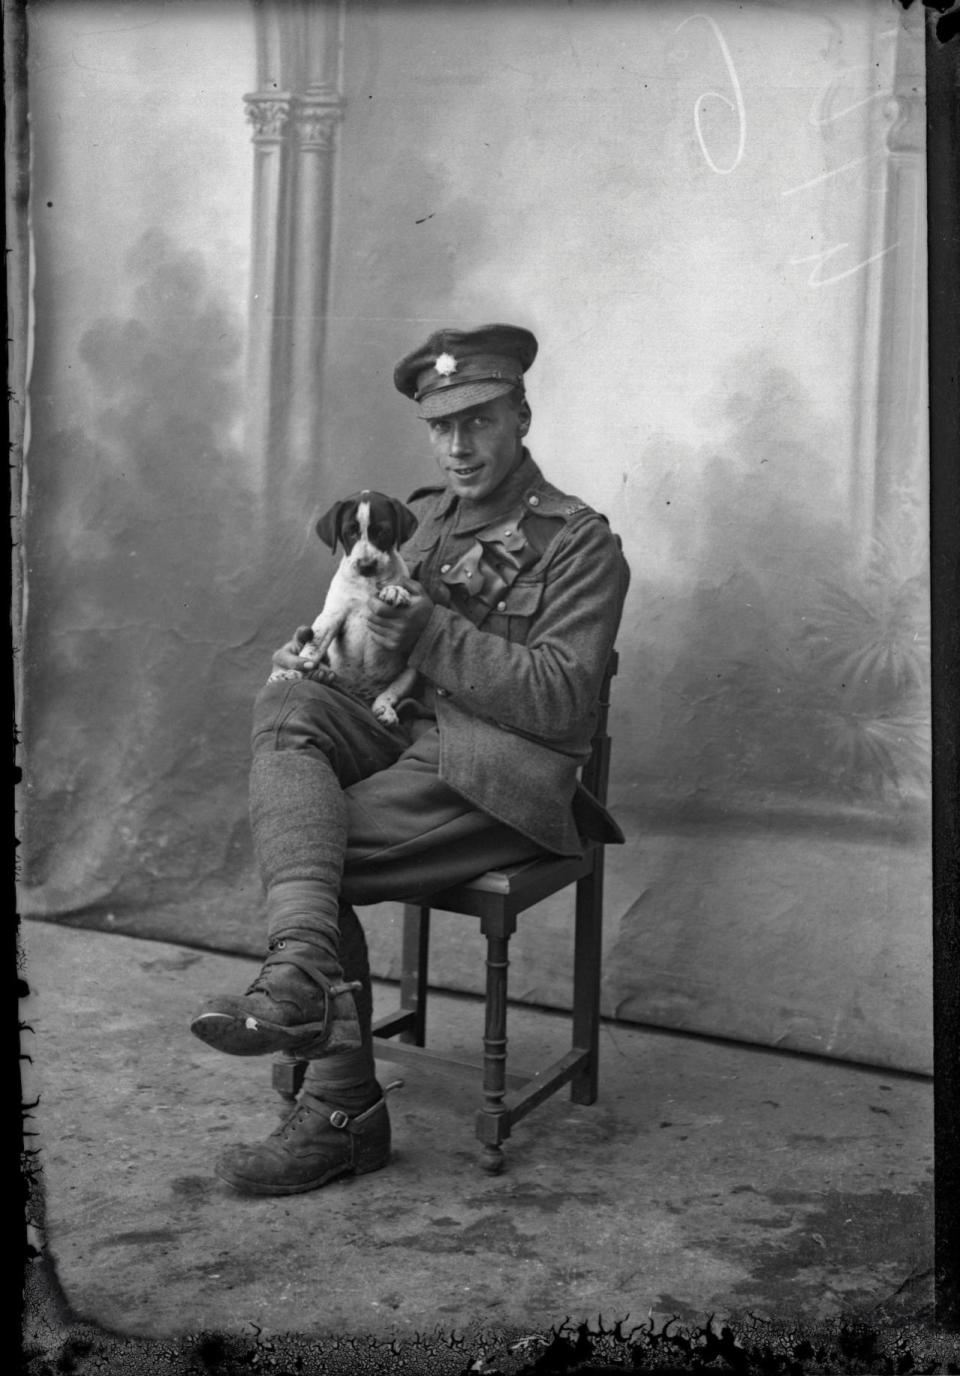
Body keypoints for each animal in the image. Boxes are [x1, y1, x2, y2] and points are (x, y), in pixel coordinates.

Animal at [269, 487, 418, 726]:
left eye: (383, 532)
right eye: (350, 533)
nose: (366, 565)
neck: (367, 582)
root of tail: (361, 694)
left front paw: (394, 590)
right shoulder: (331, 617)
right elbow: (311, 651)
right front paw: (292, 671)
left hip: (410, 672)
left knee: (389, 693)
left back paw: (383, 709)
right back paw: (311, 674)